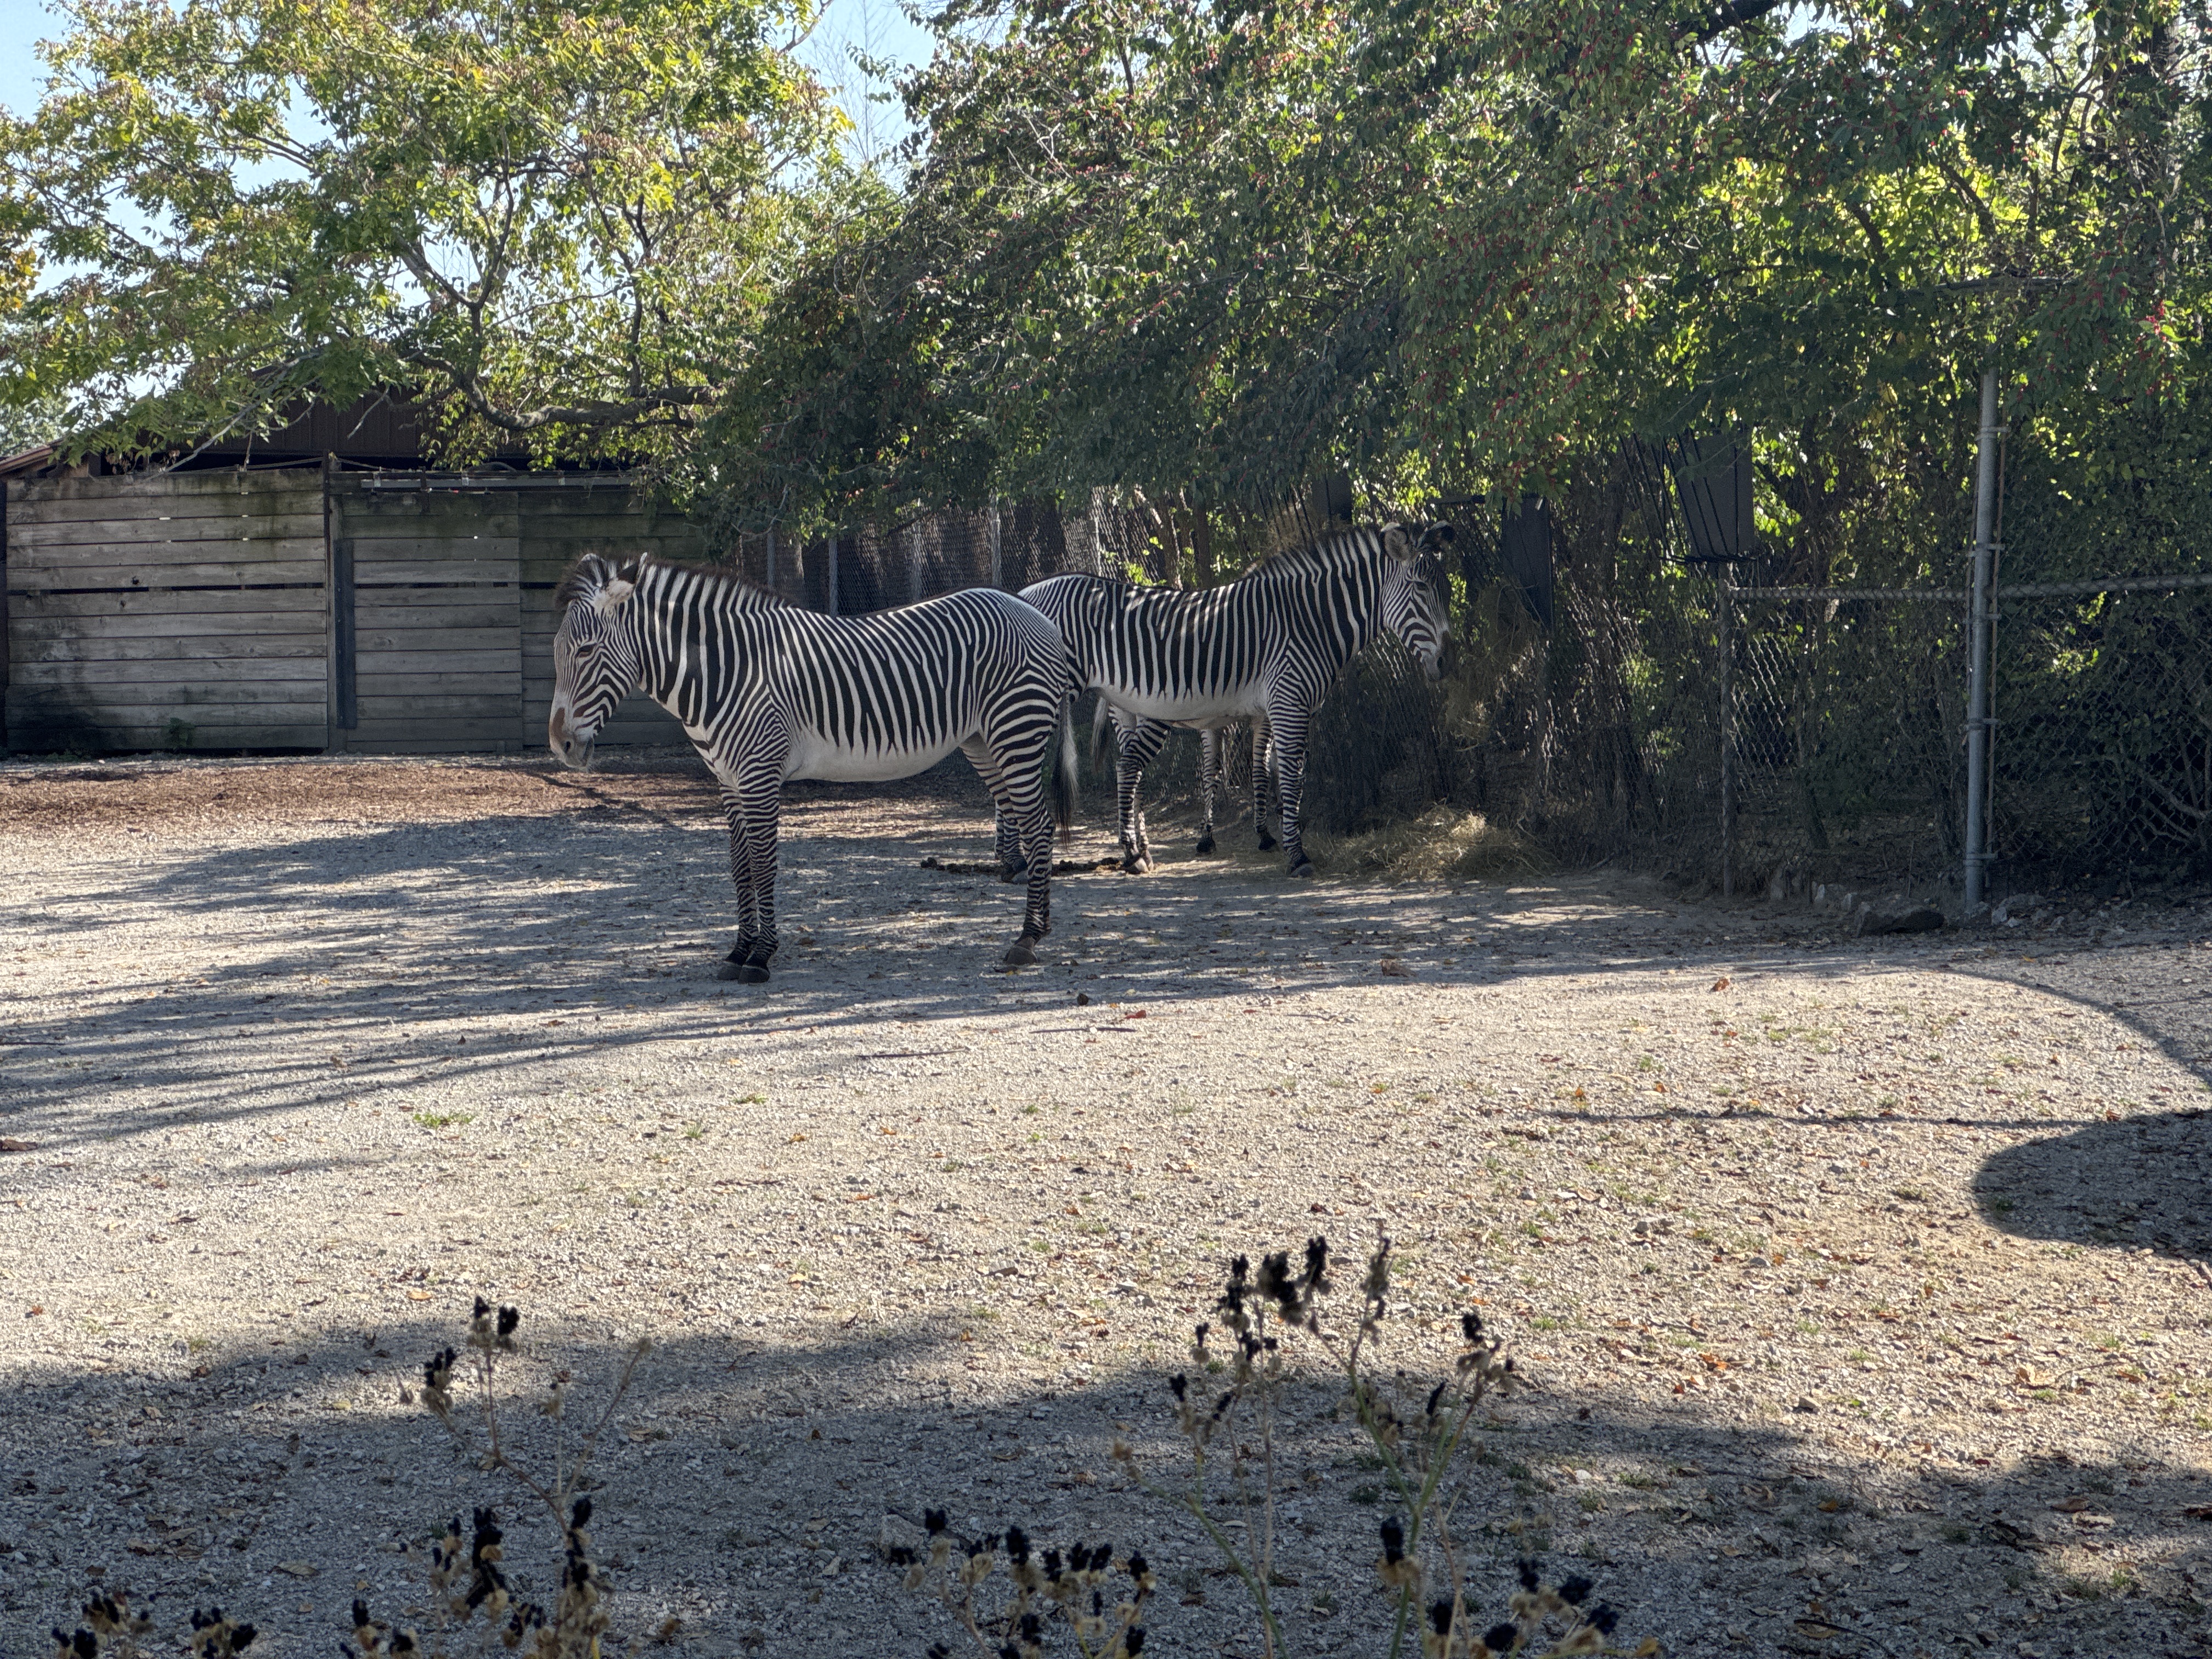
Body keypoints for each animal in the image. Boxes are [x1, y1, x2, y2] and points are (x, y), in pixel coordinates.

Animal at [550, 553, 1081, 981]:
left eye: (586, 651)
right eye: (556, 652)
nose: (560, 745)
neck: (727, 673)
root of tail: (1036, 614)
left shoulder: (759, 775)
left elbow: (764, 864)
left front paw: (761, 956)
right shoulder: (728, 781)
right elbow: (740, 867)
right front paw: (738, 951)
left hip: (1017, 730)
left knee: (1039, 826)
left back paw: (1028, 938)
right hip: (984, 742)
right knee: (1029, 825)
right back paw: (1033, 929)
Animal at [1010, 522, 1455, 878]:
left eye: (1447, 590)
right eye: (1420, 588)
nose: (1447, 662)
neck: (1309, 621)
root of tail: (1025, 591)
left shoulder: (1292, 709)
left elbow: (1286, 775)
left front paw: (1283, 836)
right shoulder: (1287, 703)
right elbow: (1287, 777)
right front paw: (1295, 854)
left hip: (1120, 707)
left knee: (1124, 769)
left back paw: (1131, 854)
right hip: (1039, 694)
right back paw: (1026, 862)